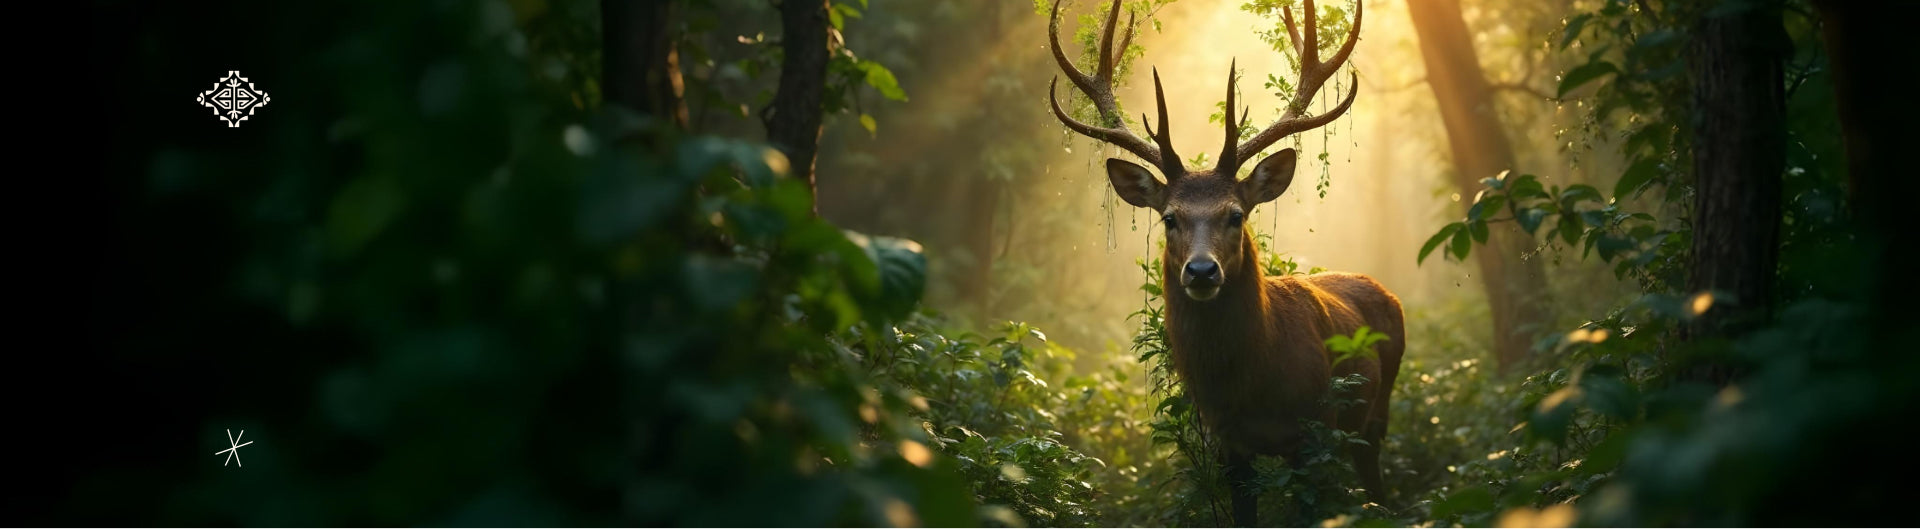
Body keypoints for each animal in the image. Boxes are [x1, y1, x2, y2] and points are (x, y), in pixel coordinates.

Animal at [1044, 0, 1405, 525]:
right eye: (1170, 217)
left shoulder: (1316, 430)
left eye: (1236, 214)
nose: (1200, 271)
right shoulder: (1227, 444)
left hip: (1378, 406)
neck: (1253, 387)